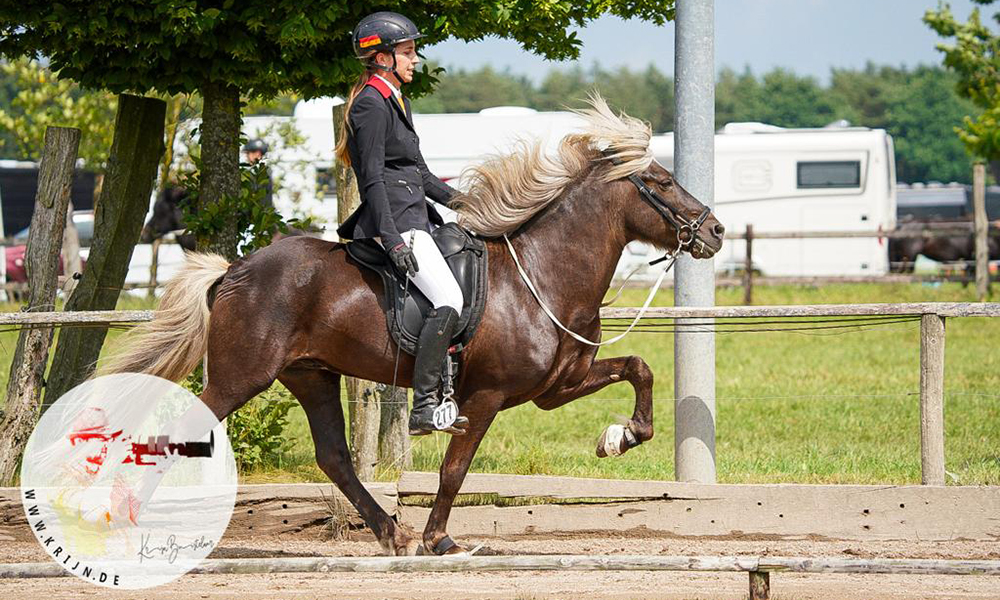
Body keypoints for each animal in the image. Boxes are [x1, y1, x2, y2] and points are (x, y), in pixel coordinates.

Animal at [101, 96, 724, 556]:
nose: (715, 231)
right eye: (661, 182)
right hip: (242, 376)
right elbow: (454, 469)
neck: (544, 275)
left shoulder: (556, 386)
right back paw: (127, 517)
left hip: (310, 375)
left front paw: (620, 437)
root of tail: (234, 270)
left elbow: (639, 368)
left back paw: (390, 534)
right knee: (177, 432)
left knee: (334, 458)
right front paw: (440, 539)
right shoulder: (486, 395)